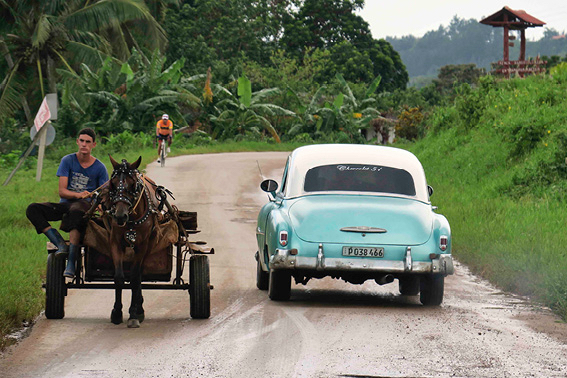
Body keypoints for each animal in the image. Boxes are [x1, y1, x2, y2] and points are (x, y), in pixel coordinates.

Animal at [106, 155, 159, 326]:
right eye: (113, 183)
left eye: (133, 184)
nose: (120, 216)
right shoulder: (115, 243)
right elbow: (119, 277)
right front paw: (116, 312)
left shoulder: (142, 245)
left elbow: (135, 277)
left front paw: (134, 313)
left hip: (149, 245)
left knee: (139, 272)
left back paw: (139, 307)